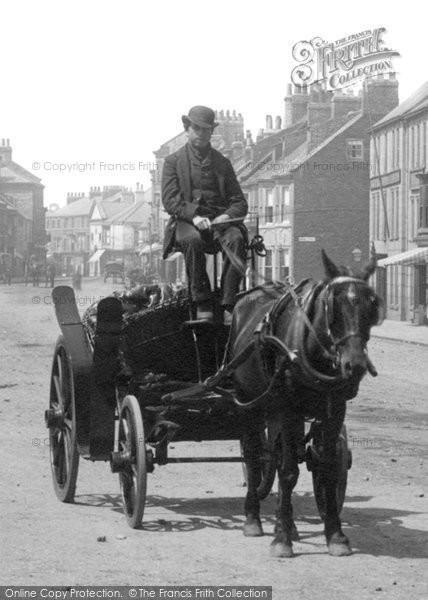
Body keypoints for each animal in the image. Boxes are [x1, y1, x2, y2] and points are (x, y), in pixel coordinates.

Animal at [231, 250, 382, 556]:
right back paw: (253, 517)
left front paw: (335, 535)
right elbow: (288, 472)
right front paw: (281, 540)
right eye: (333, 305)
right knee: (253, 458)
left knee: (275, 456)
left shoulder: (334, 410)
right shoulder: (289, 409)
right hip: (250, 404)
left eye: (372, 304)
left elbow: (326, 469)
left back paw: (287, 524)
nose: (355, 365)